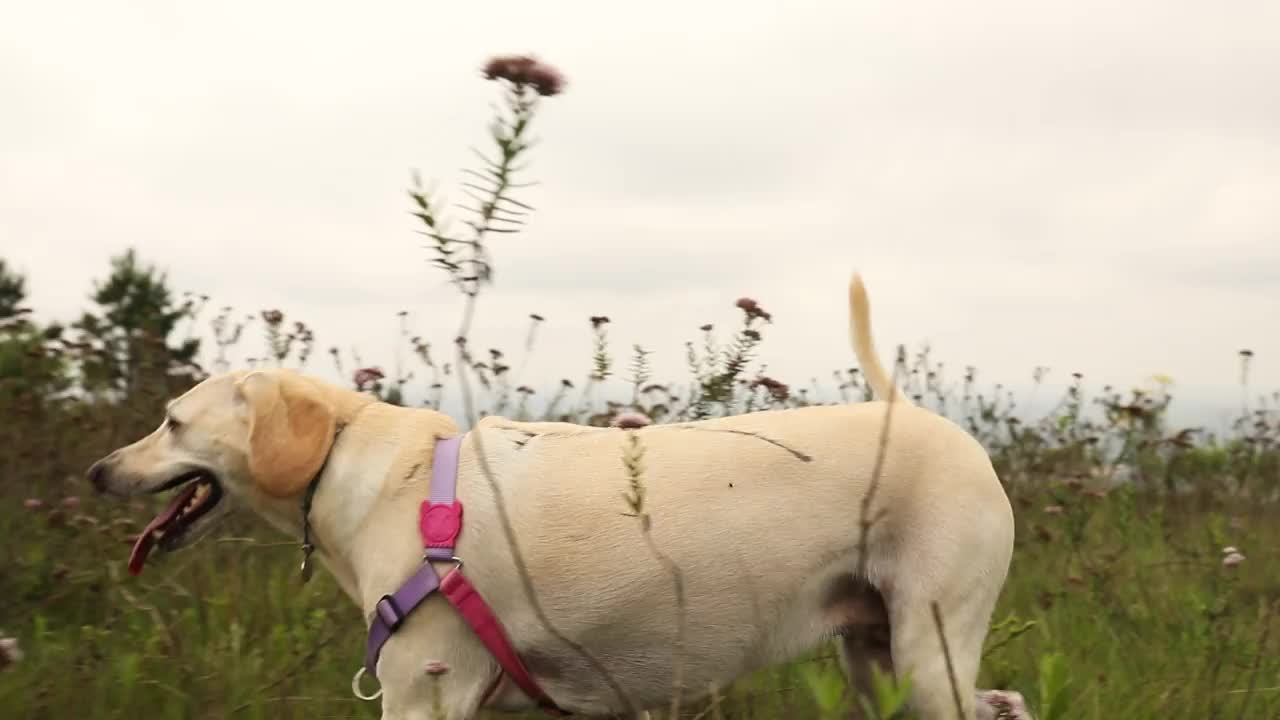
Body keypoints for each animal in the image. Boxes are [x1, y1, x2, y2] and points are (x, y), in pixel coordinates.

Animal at [85, 272, 1013, 717]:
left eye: (172, 421)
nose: (97, 471)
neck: (370, 470)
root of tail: (915, 415)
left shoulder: (423, 696)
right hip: (877, 657)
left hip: (928, 652)